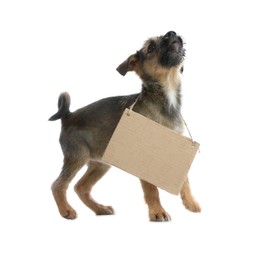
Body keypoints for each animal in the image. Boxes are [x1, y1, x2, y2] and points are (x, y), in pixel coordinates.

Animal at [49, 30, 201, 221]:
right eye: (151, 48)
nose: (171, 33)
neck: (166, 97)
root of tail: (68, 116)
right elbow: (152, 189)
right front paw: (158, 212)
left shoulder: (176, 150)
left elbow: (185, 179)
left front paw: (191, 203)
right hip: (77, 156)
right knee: (58, 185)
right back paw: (66, 211)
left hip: (100, 164)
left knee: (81, 187)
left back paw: (100, 209)